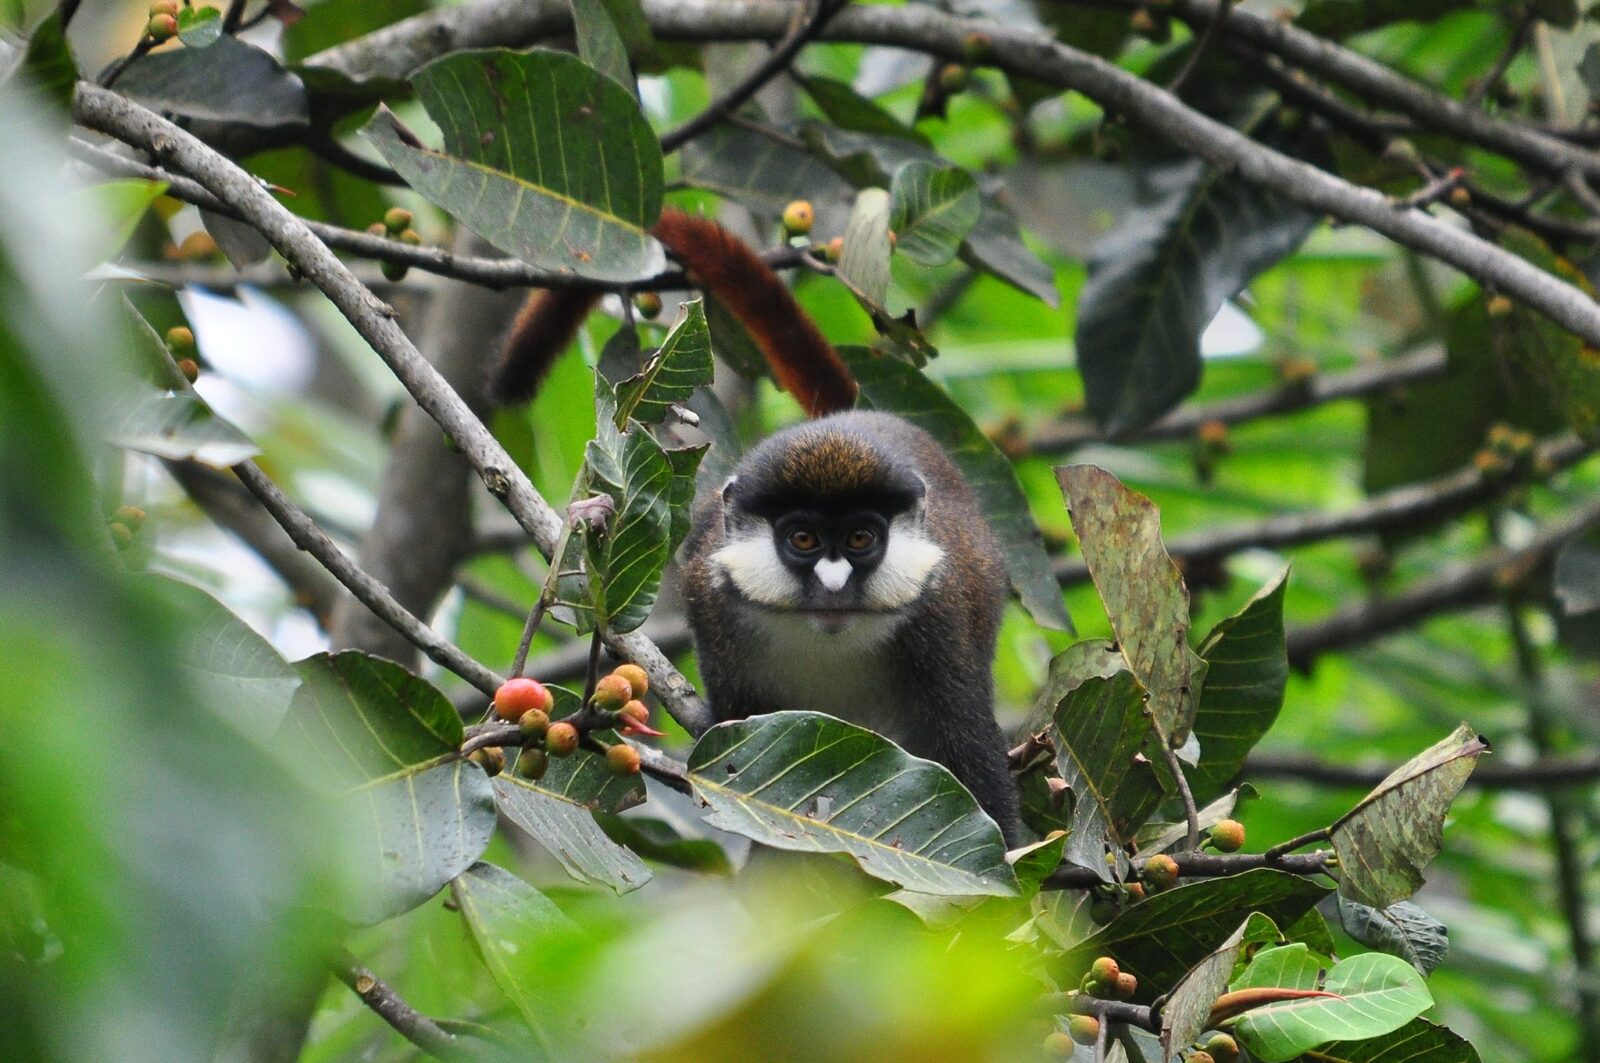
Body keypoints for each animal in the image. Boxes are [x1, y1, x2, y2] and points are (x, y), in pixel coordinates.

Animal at [493, 209, 1021, 842]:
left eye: (861, 539)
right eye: (803, 539)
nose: (835, 584)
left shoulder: (937, 619)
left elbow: (972, 756)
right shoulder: (712, 602)